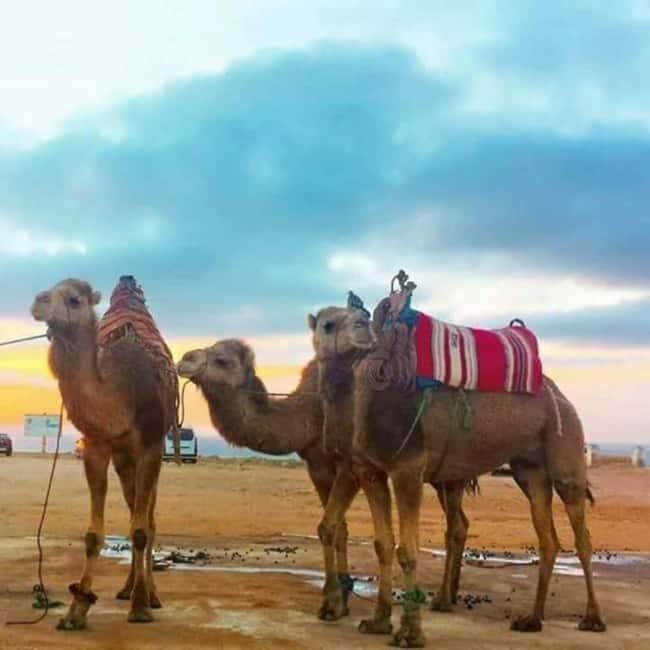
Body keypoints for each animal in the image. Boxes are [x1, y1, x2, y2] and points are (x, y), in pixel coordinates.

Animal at [31, 277, 177, 629]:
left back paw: (150, 595)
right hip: (124, 460)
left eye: (74, 299)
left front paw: (140, 609)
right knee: (135, 509)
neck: (119, 393)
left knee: (148, 520)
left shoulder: (150, 446)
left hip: (149, 454)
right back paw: (128, 588)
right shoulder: (96, 446)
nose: (39, 301)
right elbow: (93, 536)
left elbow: (141, 529)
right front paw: (76, 610)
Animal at [176, 340, 471, 619]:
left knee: (455, 527)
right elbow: (339, 528)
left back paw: (443, 599)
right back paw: (453, 592)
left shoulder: (349, 464)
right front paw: (343, 593)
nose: (184, 360)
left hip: (451, 469)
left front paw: (334, 602)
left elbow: (332, 525)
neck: (309, 410)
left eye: (221, 360)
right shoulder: (317, 465)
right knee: (462, 523)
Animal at [309, 304, 605, 647]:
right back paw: (531, 619)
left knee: (580, 532)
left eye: (363, 316)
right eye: (328, 324)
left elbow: (407, 549)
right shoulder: (367, 469)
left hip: (565, 444)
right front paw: (375, 620)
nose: (361, 326)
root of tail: (559, 394)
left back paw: (593, 619)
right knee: (547, 537)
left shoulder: (407, 468)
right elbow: (377, 541)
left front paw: (410, 632)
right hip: (528, 469)